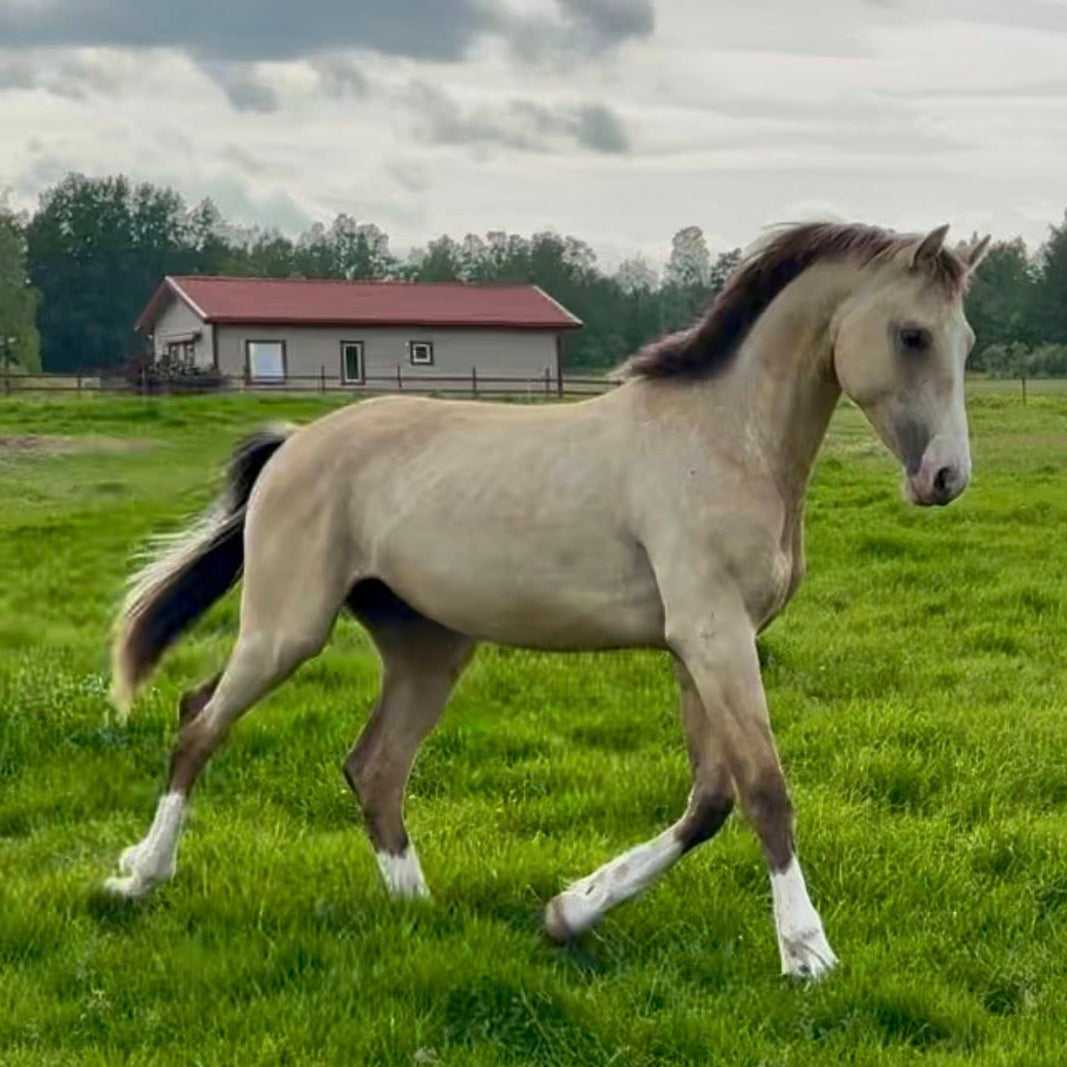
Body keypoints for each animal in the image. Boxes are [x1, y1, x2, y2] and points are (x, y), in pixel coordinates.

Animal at [105, 220, 990, 979]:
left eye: (966, 341)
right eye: (911, 334)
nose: (945, 478)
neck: (722, 440)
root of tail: (294, 444)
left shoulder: (699, 647)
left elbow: (709, 800)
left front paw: (567, 911)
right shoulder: (713, 635)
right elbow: (764, 790)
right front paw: (806, 951)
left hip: (428, 648)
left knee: (374, 768)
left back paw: (420, 909)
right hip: (287, 628)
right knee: (198, 722)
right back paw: (139, 875)